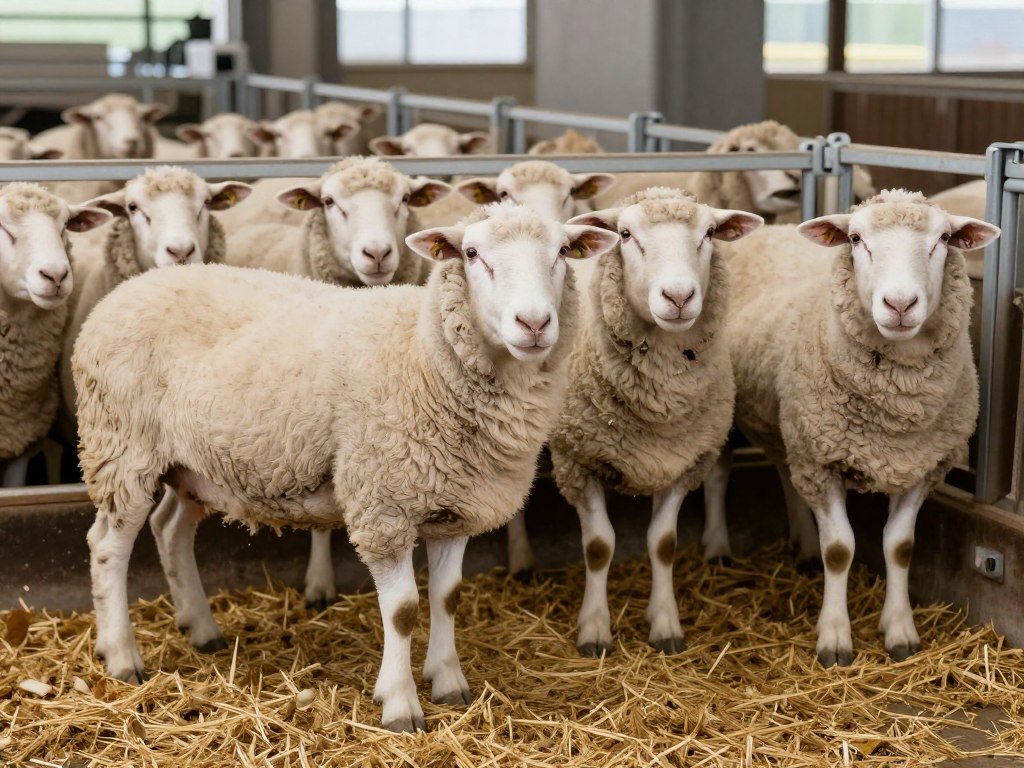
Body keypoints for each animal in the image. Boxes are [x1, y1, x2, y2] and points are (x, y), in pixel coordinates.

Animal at [73, 201, 619, 731]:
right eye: (470, 253)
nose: (534, 324)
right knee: (106, 548)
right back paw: (121, 657)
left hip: (193, 465)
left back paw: (202, 630)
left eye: (563, 252)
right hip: (122, 448)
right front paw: (400, 707)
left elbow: (447, 597)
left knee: (169, 529)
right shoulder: (383, 505)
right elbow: (403, 611)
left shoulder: (456, 504)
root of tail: (125, 291)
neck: (421, 352)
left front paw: (449, 683)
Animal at [547, 188, 762, 656]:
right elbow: (599, 546)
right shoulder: (577, 460)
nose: (678, 296)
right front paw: (594, 630)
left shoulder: (684, 462)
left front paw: (665, 625)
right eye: (627, 234)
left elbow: (663, 544)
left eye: (710, 233)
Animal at [704, 189, 999, 666]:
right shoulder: (823, 463)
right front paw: (835, 639)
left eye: (943, 239)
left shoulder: (922, 467)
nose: (900, 305)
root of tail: (774, 228)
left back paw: (805, 547)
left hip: (792, 427)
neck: (897, 407)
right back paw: (716, 548)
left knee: (785, 472)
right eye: (857, 239)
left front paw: (900, 632)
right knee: (717, 474)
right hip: (730, 407)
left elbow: (900, 546)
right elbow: (841, 550)